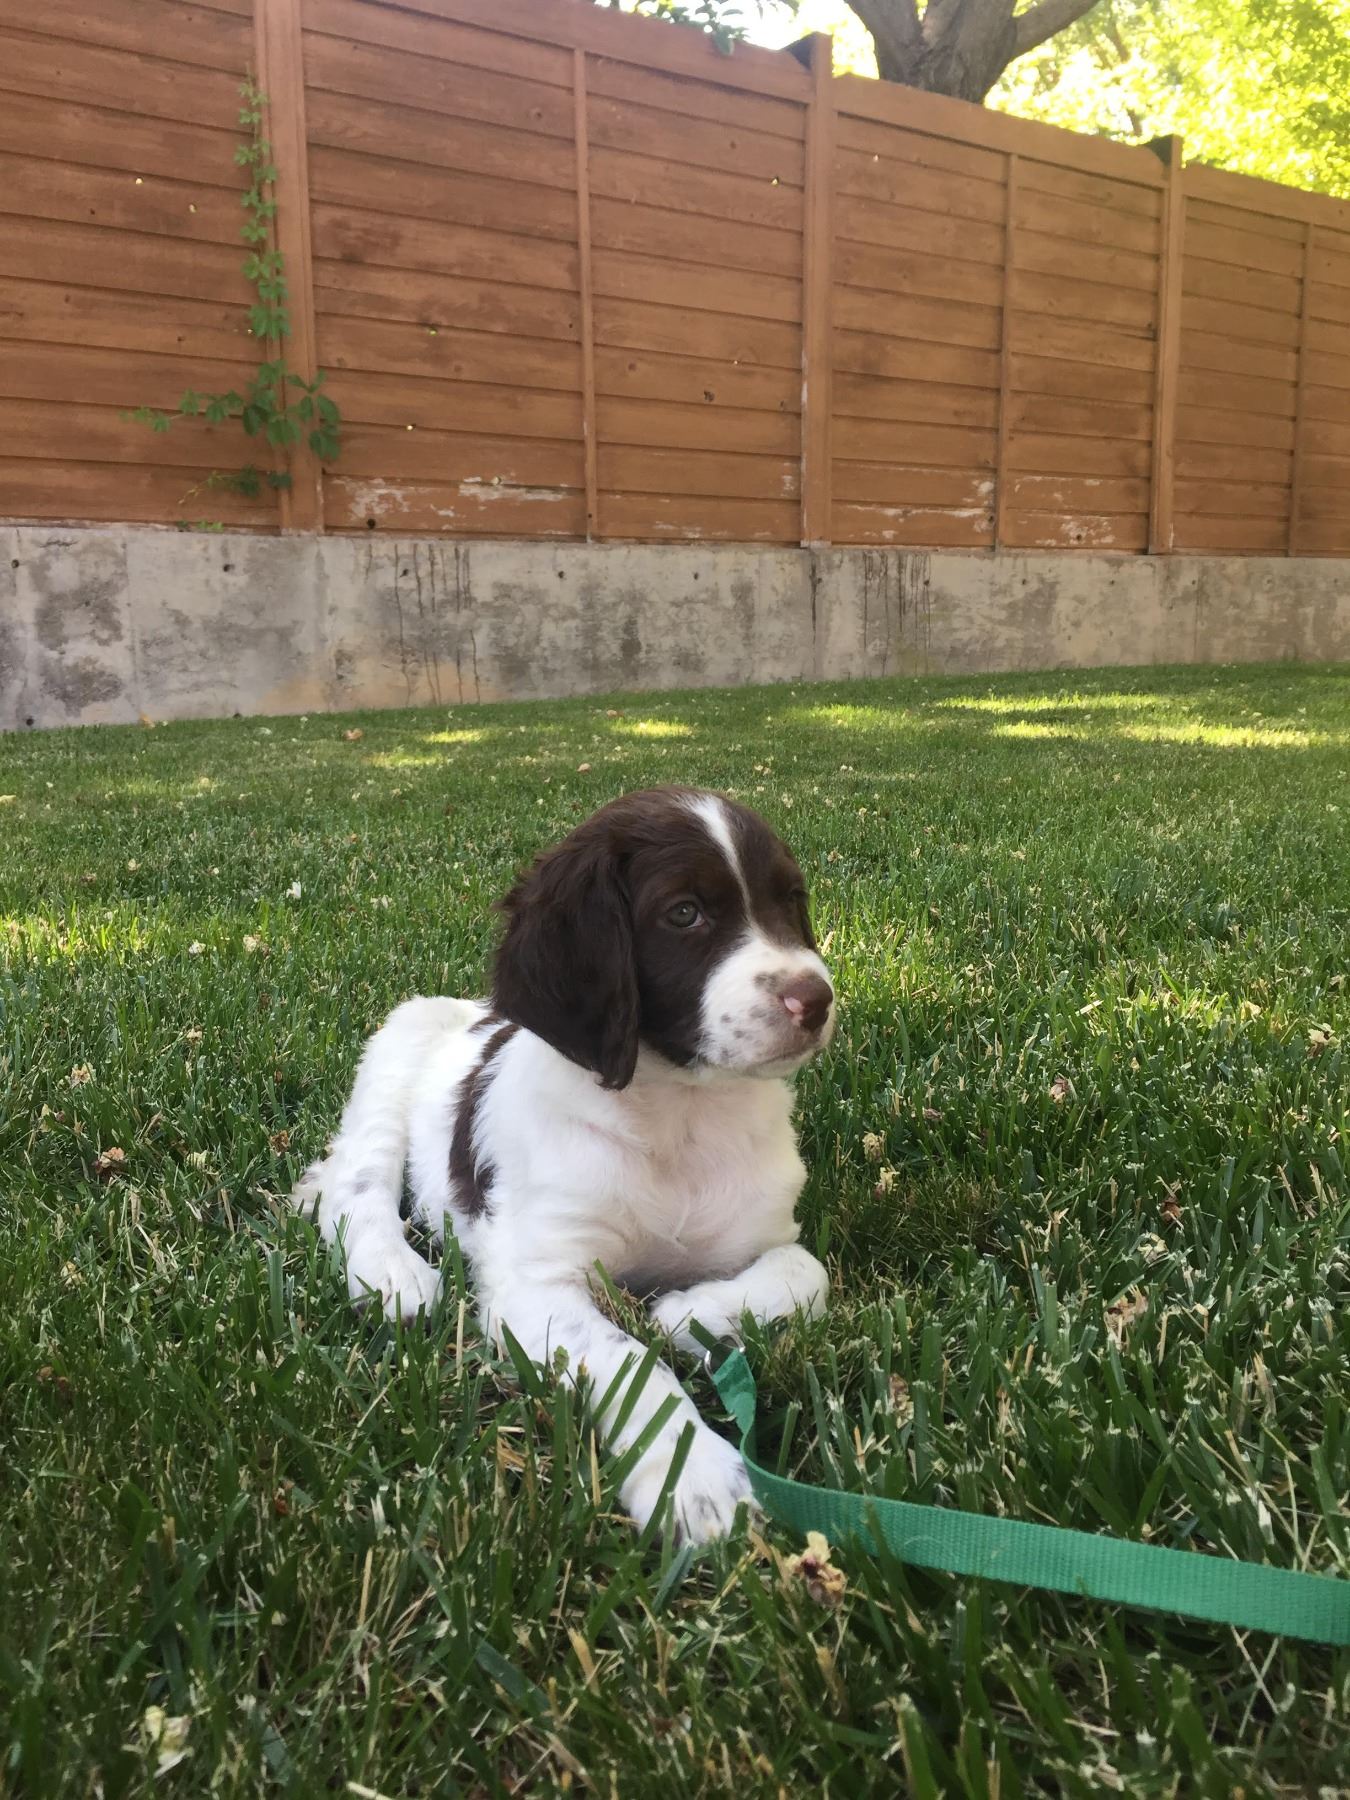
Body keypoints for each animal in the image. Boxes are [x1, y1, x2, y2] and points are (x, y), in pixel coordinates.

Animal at [293, 787, 835, 1540]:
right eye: (685, 913)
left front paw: (688, 1312)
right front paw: (692, 1477)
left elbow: (807, 1276)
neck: (680, 1113)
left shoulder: (768, 1234)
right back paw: (395, 1274)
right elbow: (631, 1363)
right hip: (394, 1057)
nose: (815, 1000)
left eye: (792, 900)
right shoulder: (536, 1283)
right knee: (356, 1189)